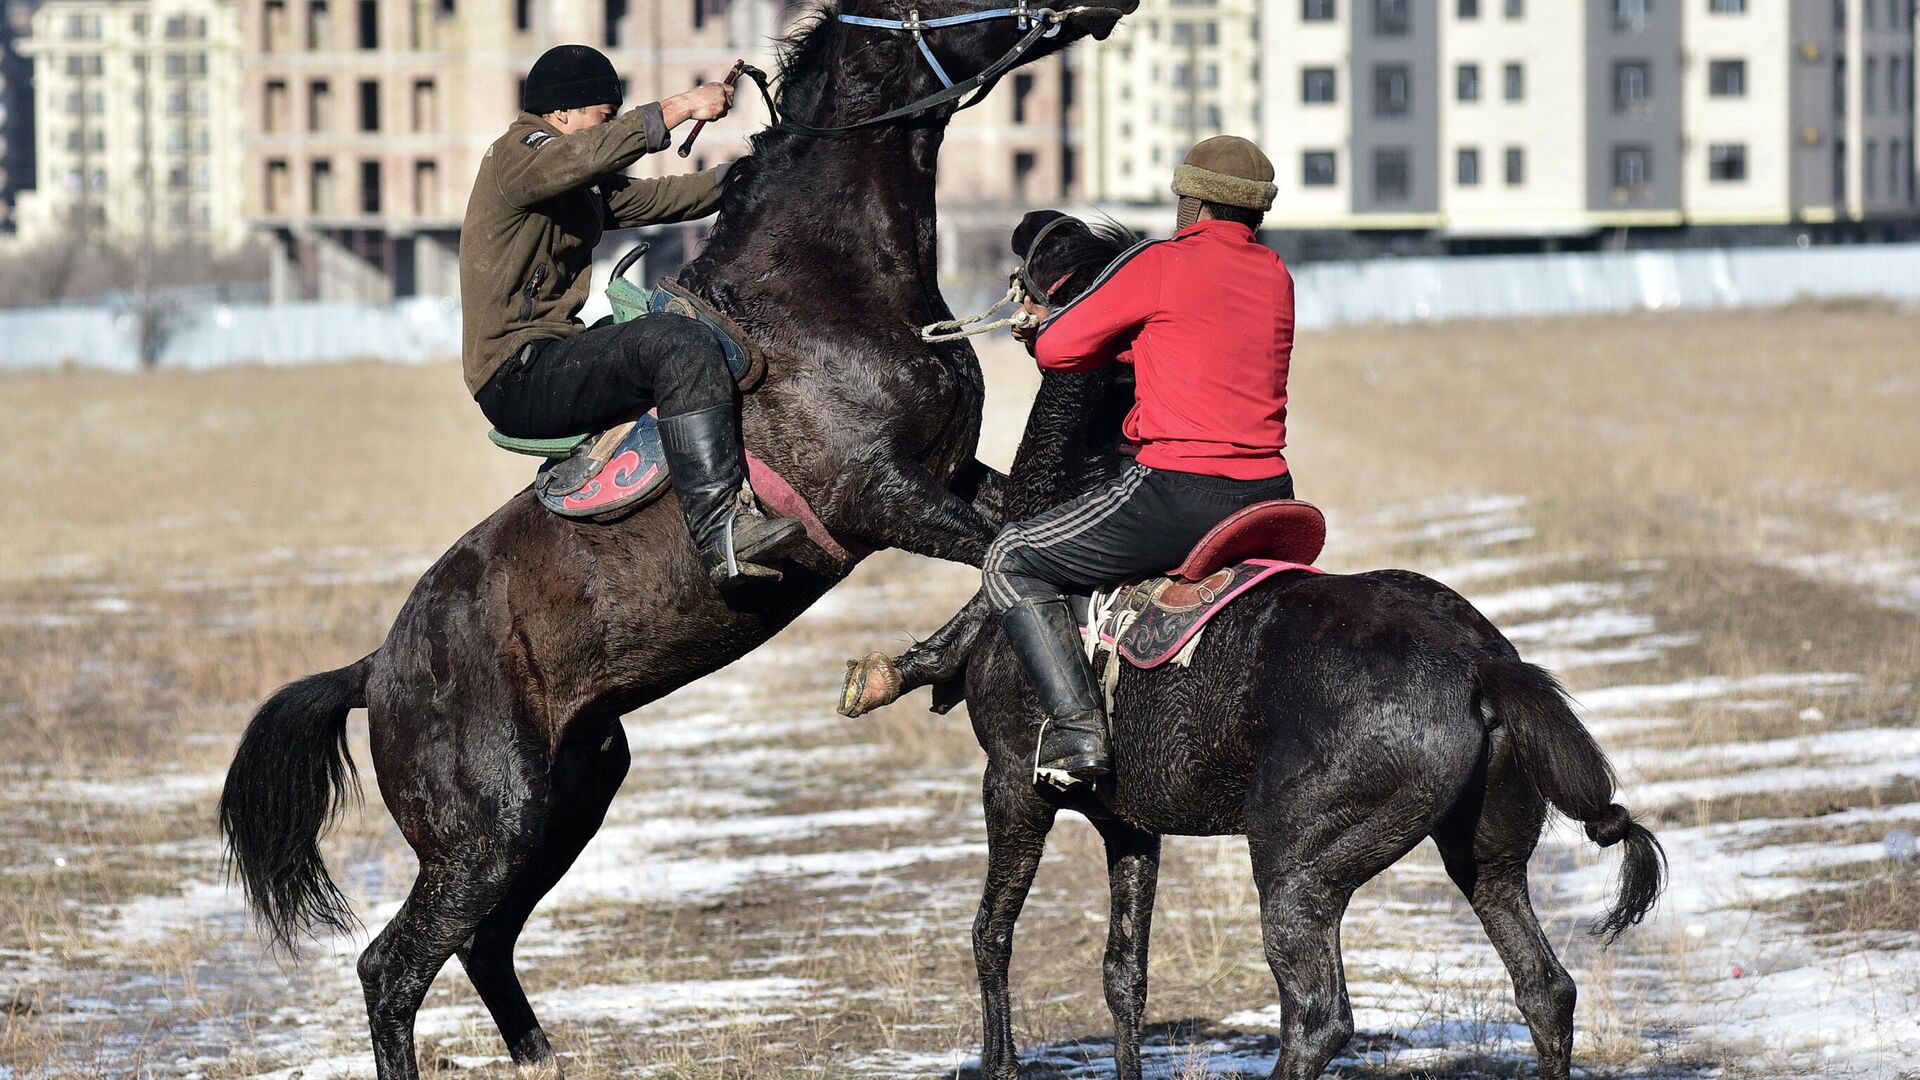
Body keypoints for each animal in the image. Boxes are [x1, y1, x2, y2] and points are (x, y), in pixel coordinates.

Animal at [217, 4, 1128, 1068]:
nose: (1101, 10)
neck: (824, 286)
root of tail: (376, 670)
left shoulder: (948, 477)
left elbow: (1014, 539)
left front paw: (917, 669)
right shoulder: (883, 498)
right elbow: (1001, 552)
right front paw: (910, 670)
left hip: (570, 797)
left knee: (483, 944)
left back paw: (545, 1059)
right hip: (487, 829)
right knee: (392, 969)